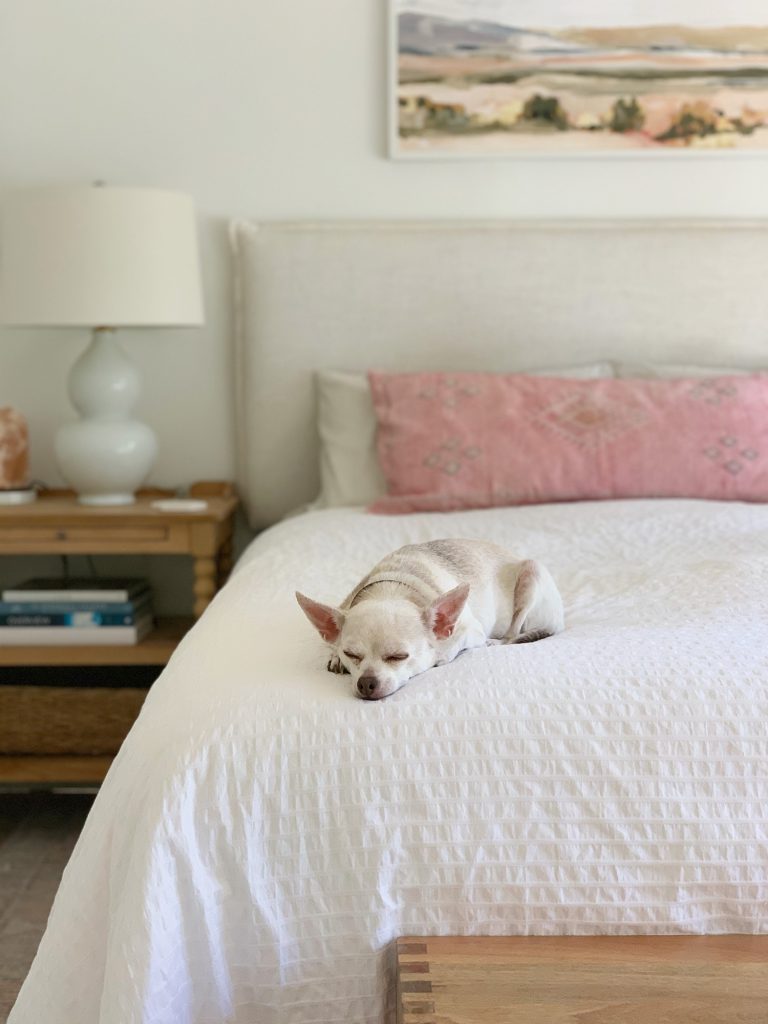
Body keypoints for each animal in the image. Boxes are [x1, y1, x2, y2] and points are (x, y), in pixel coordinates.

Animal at [296, 540, 561, 700]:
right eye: (351, 655)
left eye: (398, 657)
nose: (366, 683)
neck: (391, 591)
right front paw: (335, 657)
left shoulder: (471, 630)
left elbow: (451, 646)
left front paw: (439, 655)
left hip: (531, 574)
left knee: (513, 632)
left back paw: (497, 641)